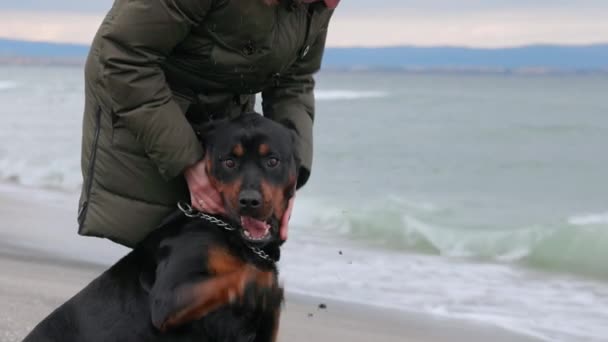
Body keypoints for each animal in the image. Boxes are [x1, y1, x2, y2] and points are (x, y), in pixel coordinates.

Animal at [23, 114, 300, 342]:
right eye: (229, 162)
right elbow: (231, 279)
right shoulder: (168, 299)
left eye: (272, 161)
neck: (228, 233)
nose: (249, 201)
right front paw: (258, 283)